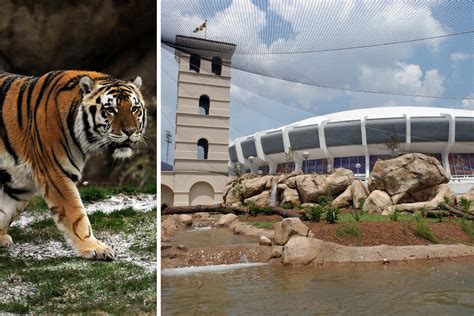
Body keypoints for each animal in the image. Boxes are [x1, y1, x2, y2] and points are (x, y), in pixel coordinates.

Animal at [0, 70, 146, 260]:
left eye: (134, 108)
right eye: (110, 109)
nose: (130, 131)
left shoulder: (21, 184)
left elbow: (6, 210)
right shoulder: (55, 174)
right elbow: (76, 215)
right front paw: (94, 247)